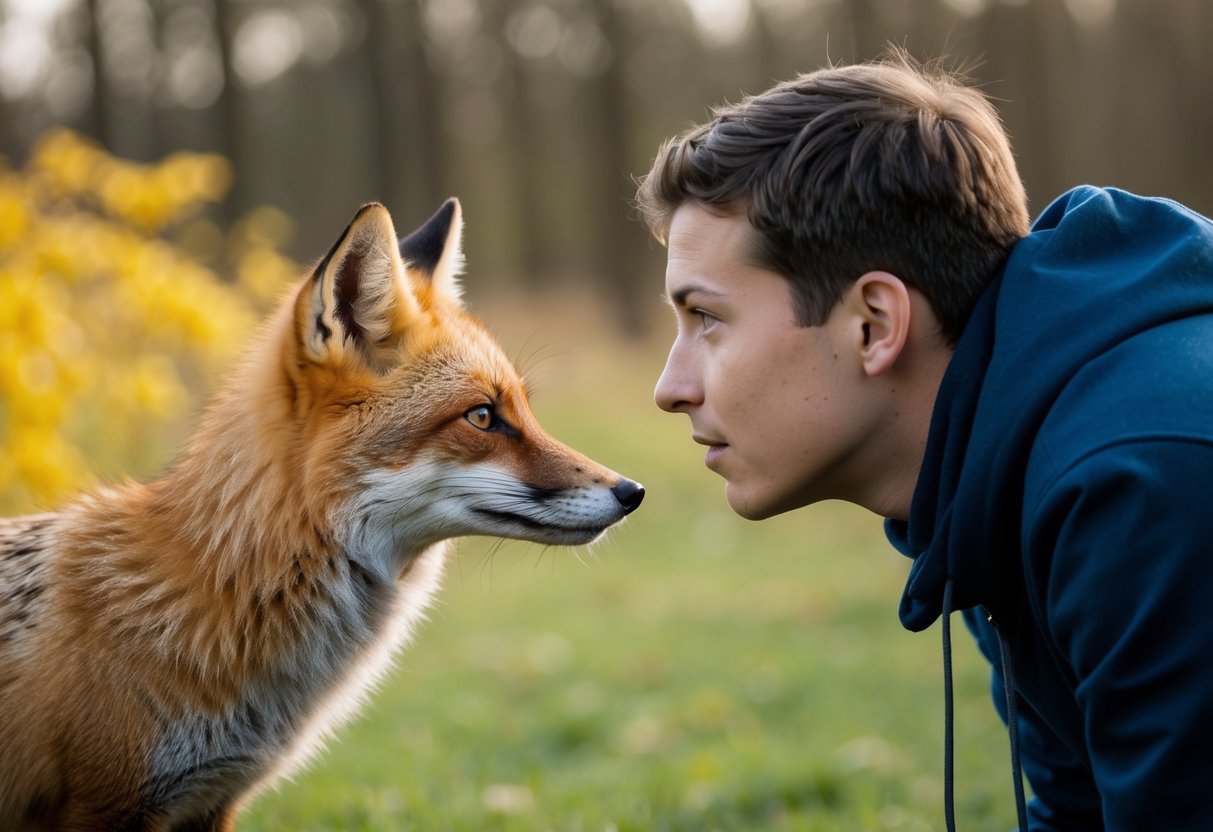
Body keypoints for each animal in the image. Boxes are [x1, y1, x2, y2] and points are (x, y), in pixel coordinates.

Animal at [0, 198, 644, 831]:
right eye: (483, 416)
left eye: (525, 411)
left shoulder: (210, 802)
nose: (632, 491)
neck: (227, 580)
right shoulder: (106, 804)